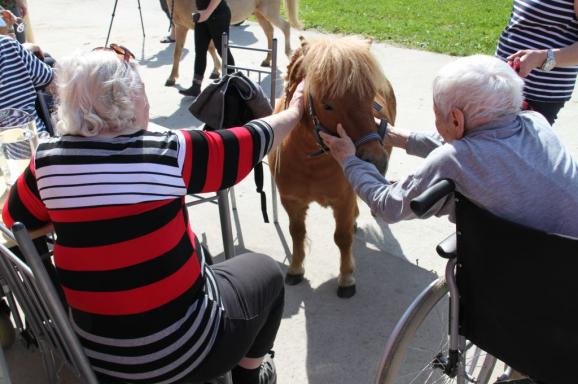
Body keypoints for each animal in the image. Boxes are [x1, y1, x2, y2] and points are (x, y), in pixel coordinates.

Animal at [163, 0, 302, 86]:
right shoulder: (181, 27)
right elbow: (177, 53)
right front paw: (171, 78)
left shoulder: (201, 25)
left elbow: (209, 48)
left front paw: (217, 70)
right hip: (259, 12)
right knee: (269, 31)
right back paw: (267, 60)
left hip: (269, 11)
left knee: (286, 26)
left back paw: (289, 54)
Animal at [266, 36, 394, 296]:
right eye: (327, 105)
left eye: (370, 98)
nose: (376, 161)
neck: (311, 161)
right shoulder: (291, 200)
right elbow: (297, 232)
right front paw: (296, 268)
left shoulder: (343, 201)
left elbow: (342, 238)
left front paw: (346, 278)